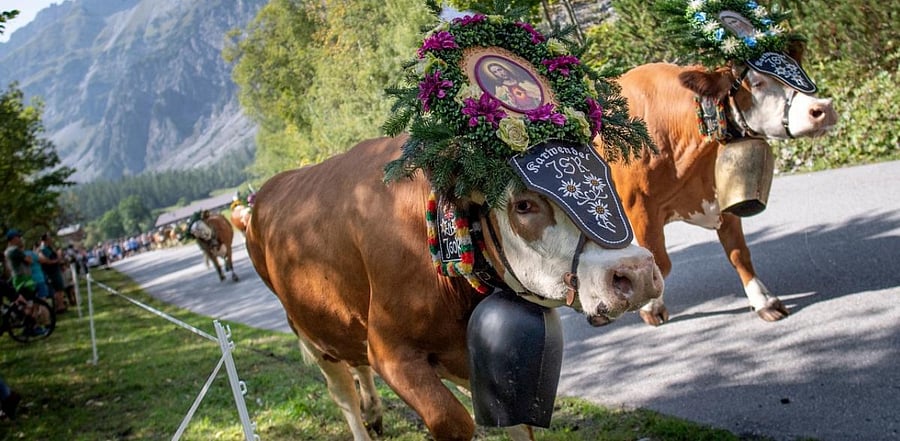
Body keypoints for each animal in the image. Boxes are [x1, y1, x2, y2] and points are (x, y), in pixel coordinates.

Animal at [244, 136, 665, 441]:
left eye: (606, 175)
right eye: (524, 205)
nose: (639, 273)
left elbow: (515, 422)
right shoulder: (390, 350)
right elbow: (454, 421)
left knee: (355, 364)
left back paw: (375, 413)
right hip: (308, 332)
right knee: (343, 392)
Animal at [600, 45, 838, 326]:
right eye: (757, 82)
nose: (822, 108)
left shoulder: (723, 197)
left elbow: (739, 253)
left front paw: (764, 301)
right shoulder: (639, 207)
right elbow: (658, 261)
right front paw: (651, 307)